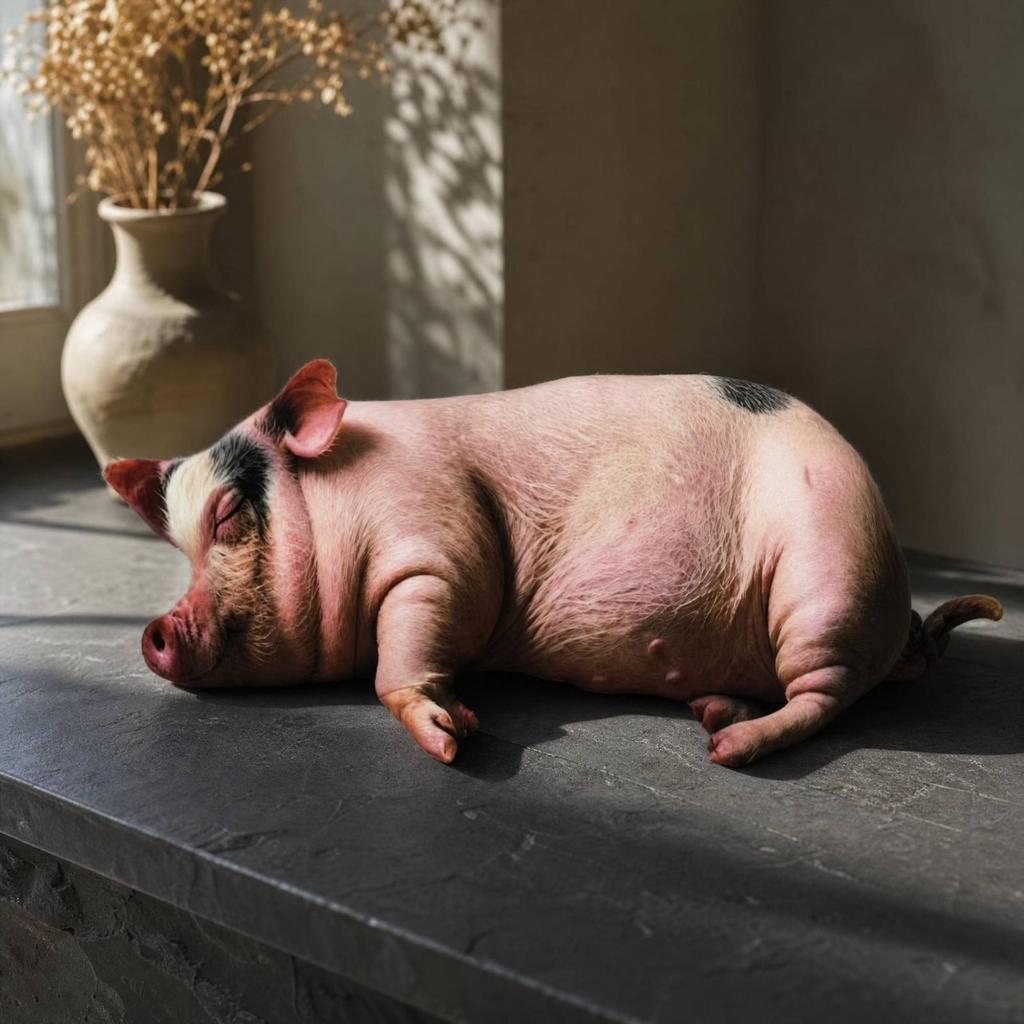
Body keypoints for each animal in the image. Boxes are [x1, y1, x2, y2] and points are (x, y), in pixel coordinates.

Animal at [104, 360, 1002, 768]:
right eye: (177, 545)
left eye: (228, 516)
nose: (155, 631)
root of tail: (905, 621)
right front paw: (457, 730)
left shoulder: (438, 545)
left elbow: (409, 645)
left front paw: (451, 740)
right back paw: (712, 711)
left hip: (828, 569)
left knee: (827, 696)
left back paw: (727, 749)